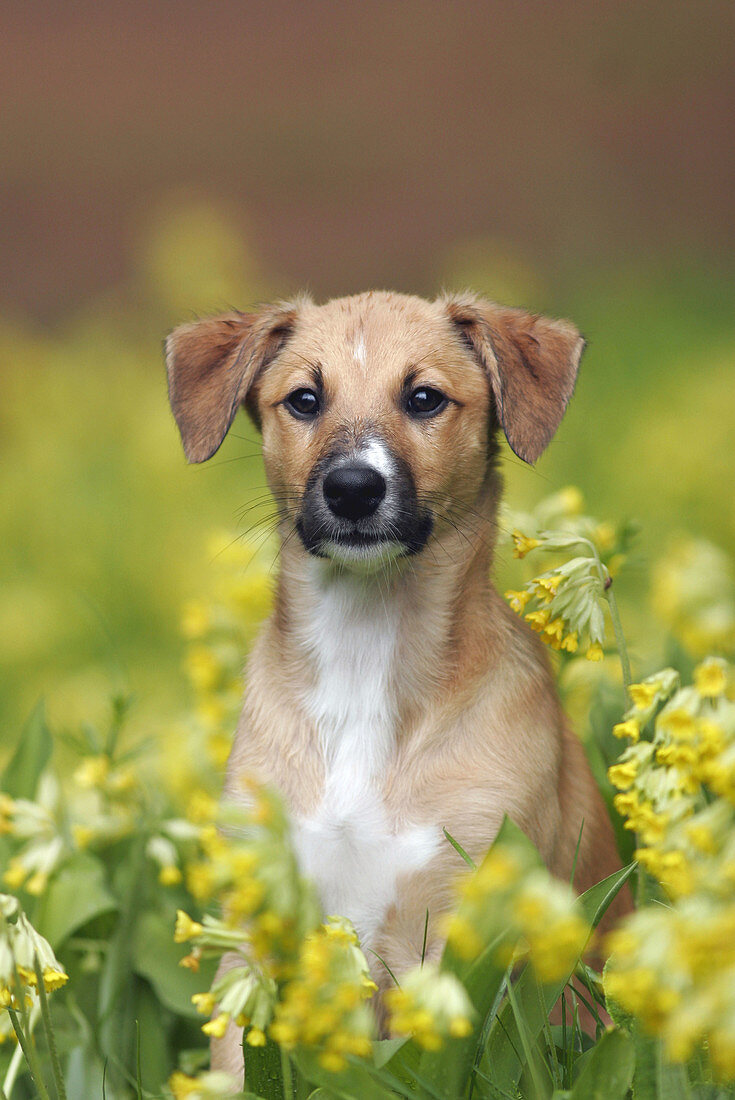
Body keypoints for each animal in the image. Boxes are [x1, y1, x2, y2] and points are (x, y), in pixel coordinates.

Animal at [166, 288, 624, 1069]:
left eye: (423, 398)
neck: (365, 653)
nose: (352, 488)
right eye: (305, 399)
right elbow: (235, 1061)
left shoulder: (454, 934)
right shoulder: (254, 936)